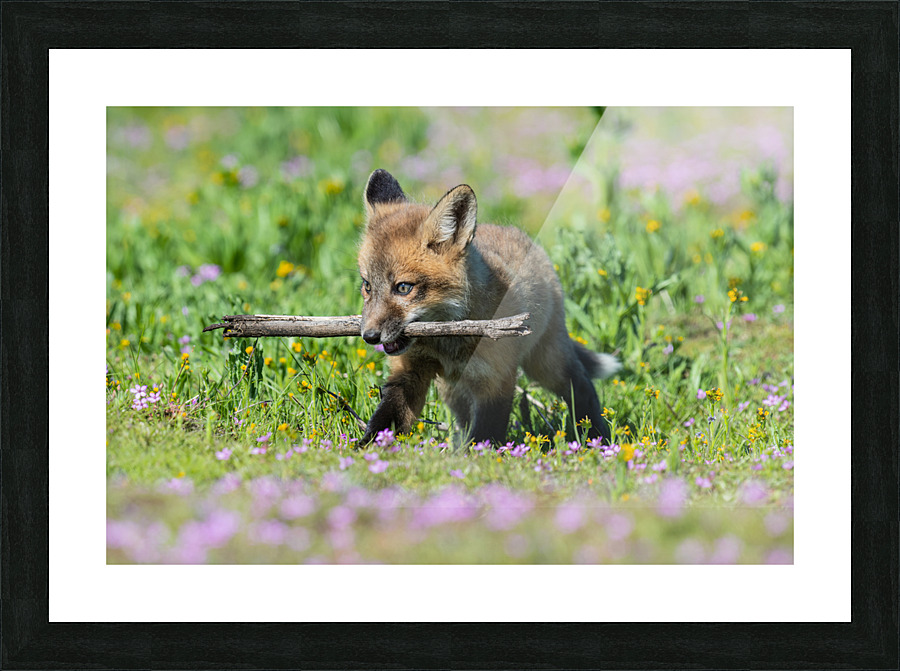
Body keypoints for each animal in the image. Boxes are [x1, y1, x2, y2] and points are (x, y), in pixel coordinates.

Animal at [357, 169, 620, 447]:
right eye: (367, 285)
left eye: (403, 288)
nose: (369, 336)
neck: (449, 342)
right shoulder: (411, 371)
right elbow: (388, 418)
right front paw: (365, 449)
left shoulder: (496, 380)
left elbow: (486, 433)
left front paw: (479, 455)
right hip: (454, 391)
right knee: (463, 421)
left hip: (547, 363)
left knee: (581, 384)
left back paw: (597, 436)